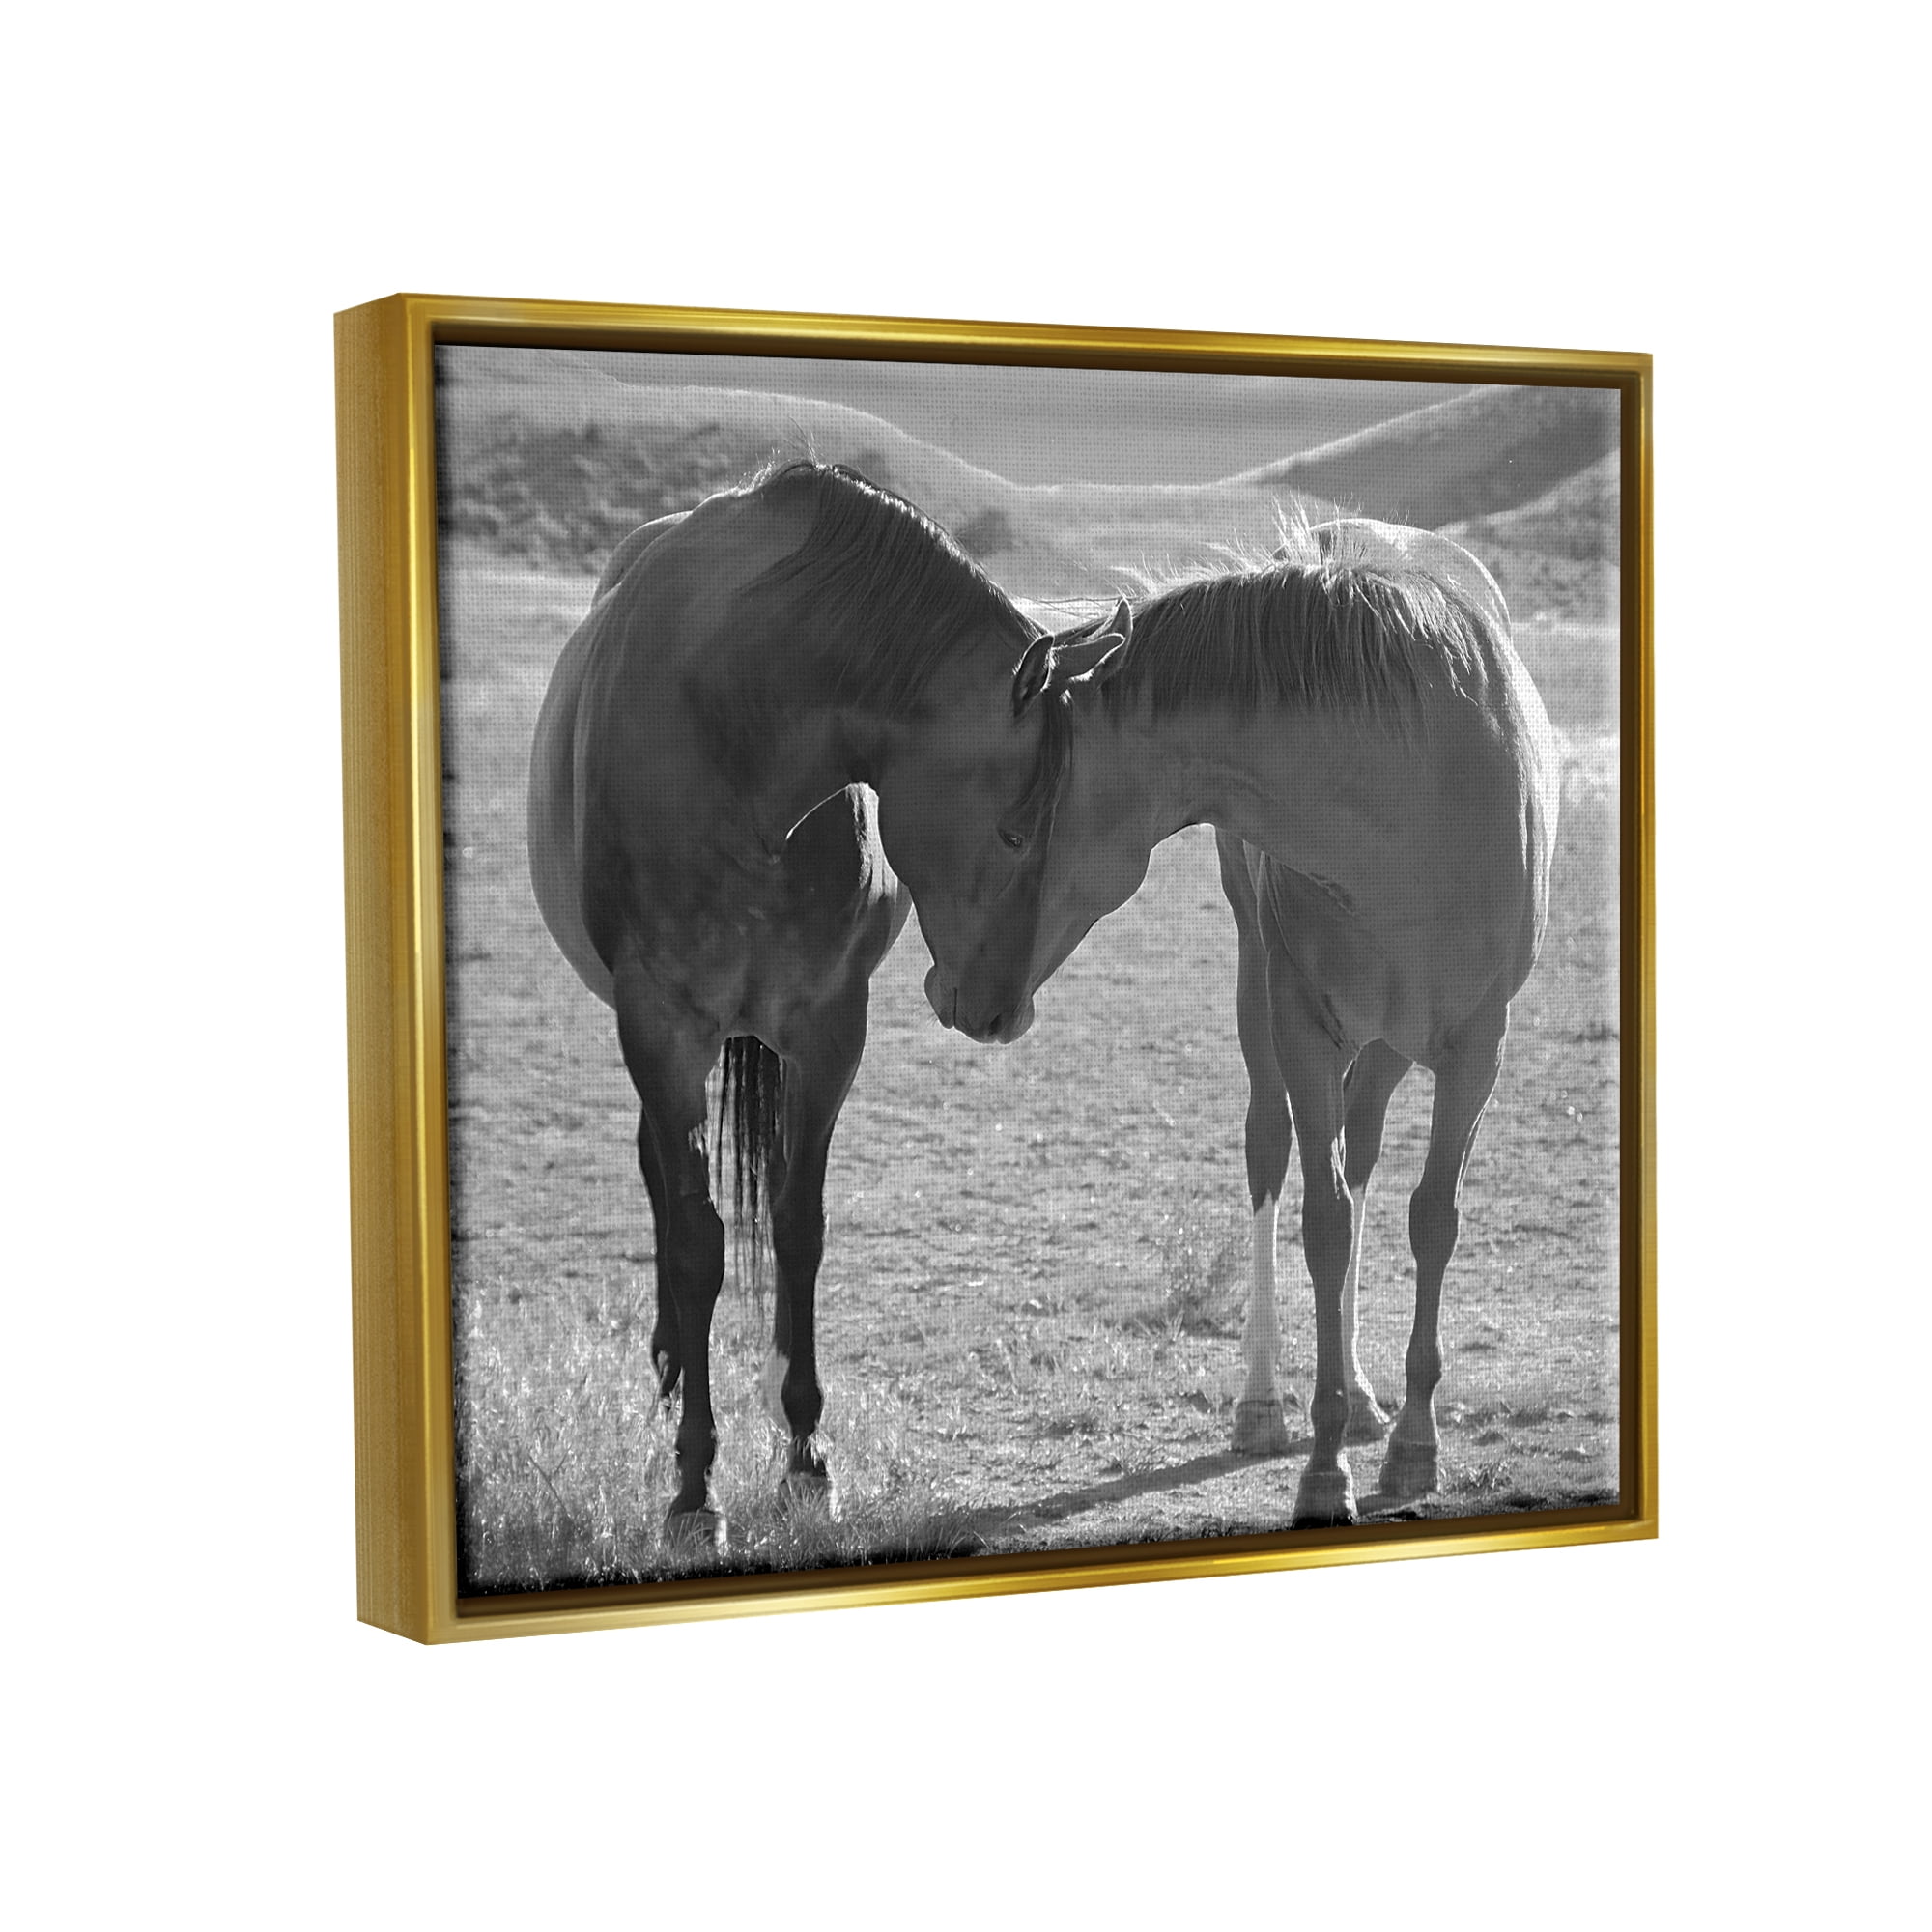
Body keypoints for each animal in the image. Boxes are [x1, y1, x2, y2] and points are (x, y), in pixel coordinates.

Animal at [527, 459, 1127, 1549]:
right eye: (1018, 827)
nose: (999, 1011)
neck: (734, 731)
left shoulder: (827, 1026)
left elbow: (798, 1226)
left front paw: (806, 1457)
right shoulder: (659, 1024)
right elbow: (697, 1243)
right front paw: (695, 1488)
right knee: (660, 1181)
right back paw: (670, 1369)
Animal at [936, 519, 1560, 1528]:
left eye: (1014, 829)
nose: (956, 997)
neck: (1411, 791)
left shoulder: (1477, 1047)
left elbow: (1431, 1218)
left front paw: (1414, 1444)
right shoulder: (1302, 1027)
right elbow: (1321, 1221)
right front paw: (1323, 1469)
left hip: (1391, 1041)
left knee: (1363, 1151)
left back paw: (1368, 1398)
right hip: (1265, 991)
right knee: (1276, 1151)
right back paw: (1266, 1403)